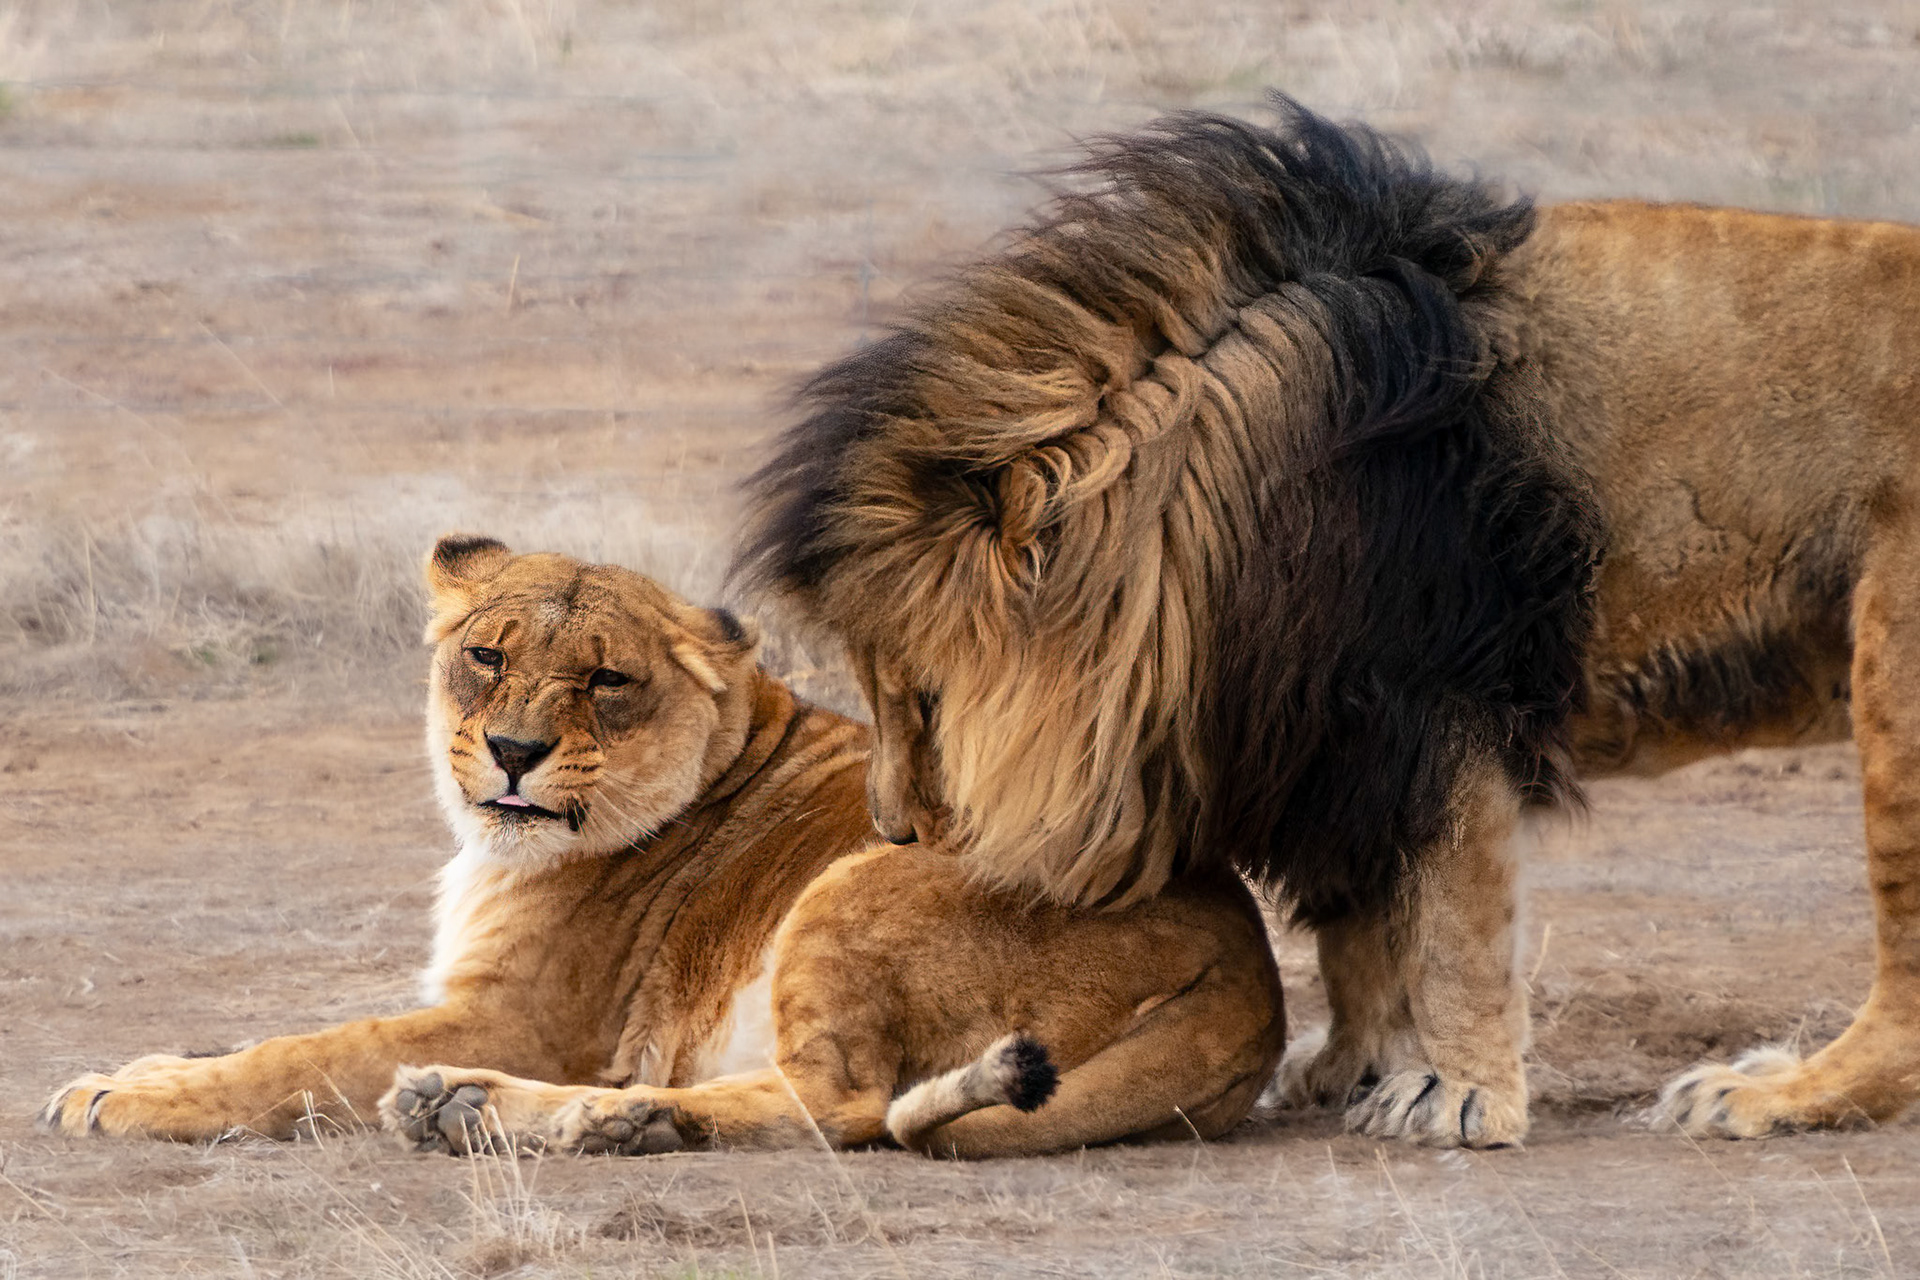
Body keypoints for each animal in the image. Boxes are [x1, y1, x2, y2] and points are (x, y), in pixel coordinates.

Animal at [41, 536, 1283, 1158]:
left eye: (605, 678)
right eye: (488, 656)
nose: (515, 749)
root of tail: (1253, 977)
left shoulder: (528, 1017)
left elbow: (300, 1054)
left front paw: (121, 1098)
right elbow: (265, 1035)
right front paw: (139, 1067)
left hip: (860, 884)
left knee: (845, 1105)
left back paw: (572, 1114)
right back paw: (487, 1110)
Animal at [735, 94, 1920, 1147]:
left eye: (922, 696)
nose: (893, 833)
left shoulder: (1438, 704)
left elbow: (1454, 926)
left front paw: (1460, 1100)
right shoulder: (1330, 740)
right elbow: (1359, 932)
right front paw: (1352, 1066)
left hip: (1892, 673)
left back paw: (1771, 1095)